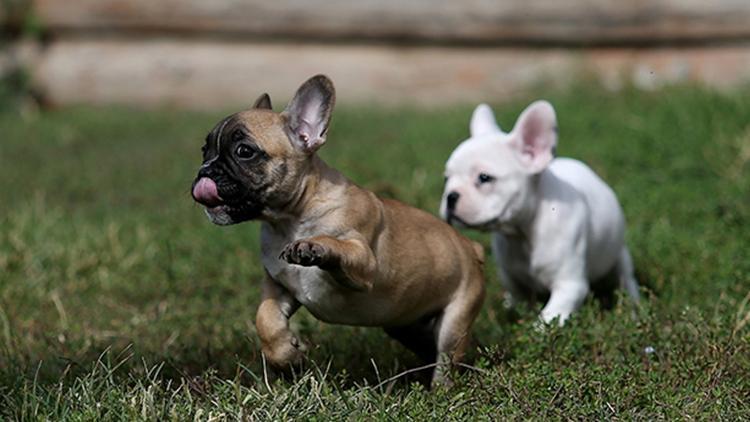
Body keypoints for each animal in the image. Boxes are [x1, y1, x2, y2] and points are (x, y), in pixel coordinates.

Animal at [192, 75, 488, 386]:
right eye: (204, 150)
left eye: (244, 152)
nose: (205, 171)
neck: (291, 219)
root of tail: (471, 247)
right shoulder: (278, 285)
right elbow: (266, 319)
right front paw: (287, 358)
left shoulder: (365, 263)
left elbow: (340, 247)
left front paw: (314, 246)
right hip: (405, 324)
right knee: (426, 346)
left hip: (455, 320)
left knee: (446, 358)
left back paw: (439, 388)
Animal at [440, 102, 640, 326]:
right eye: (446, 178)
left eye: (484, 178)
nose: (451, 196)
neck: (523, 232)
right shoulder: (512, 279)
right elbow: (520, 299)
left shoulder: (569, 286)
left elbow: (549, 317)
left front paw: (537, 329)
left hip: (620, 255)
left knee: (626, 279)